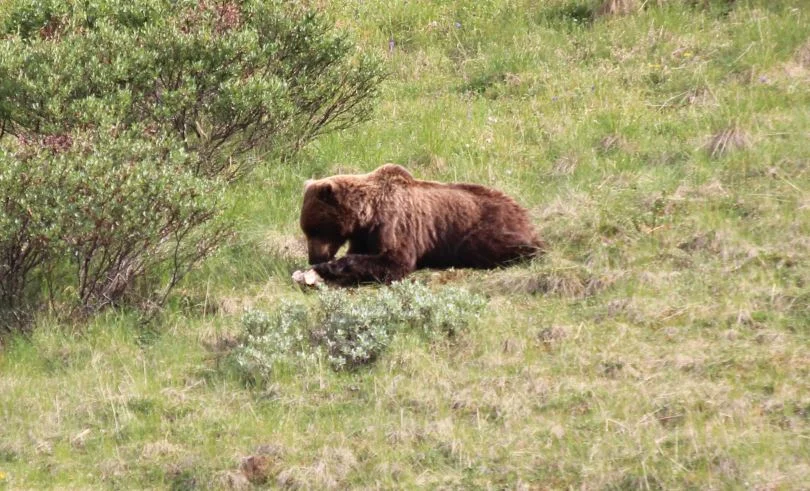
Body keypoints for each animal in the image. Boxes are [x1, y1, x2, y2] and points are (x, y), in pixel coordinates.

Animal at [293, 164, 543, 286]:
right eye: (306, 230)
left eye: (314, 230)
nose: (314, 258)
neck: (368, 215)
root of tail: (526, 216)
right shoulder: (363, 235)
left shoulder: (395, 222)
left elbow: (395, 261)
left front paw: (330, 267)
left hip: (489, 224)